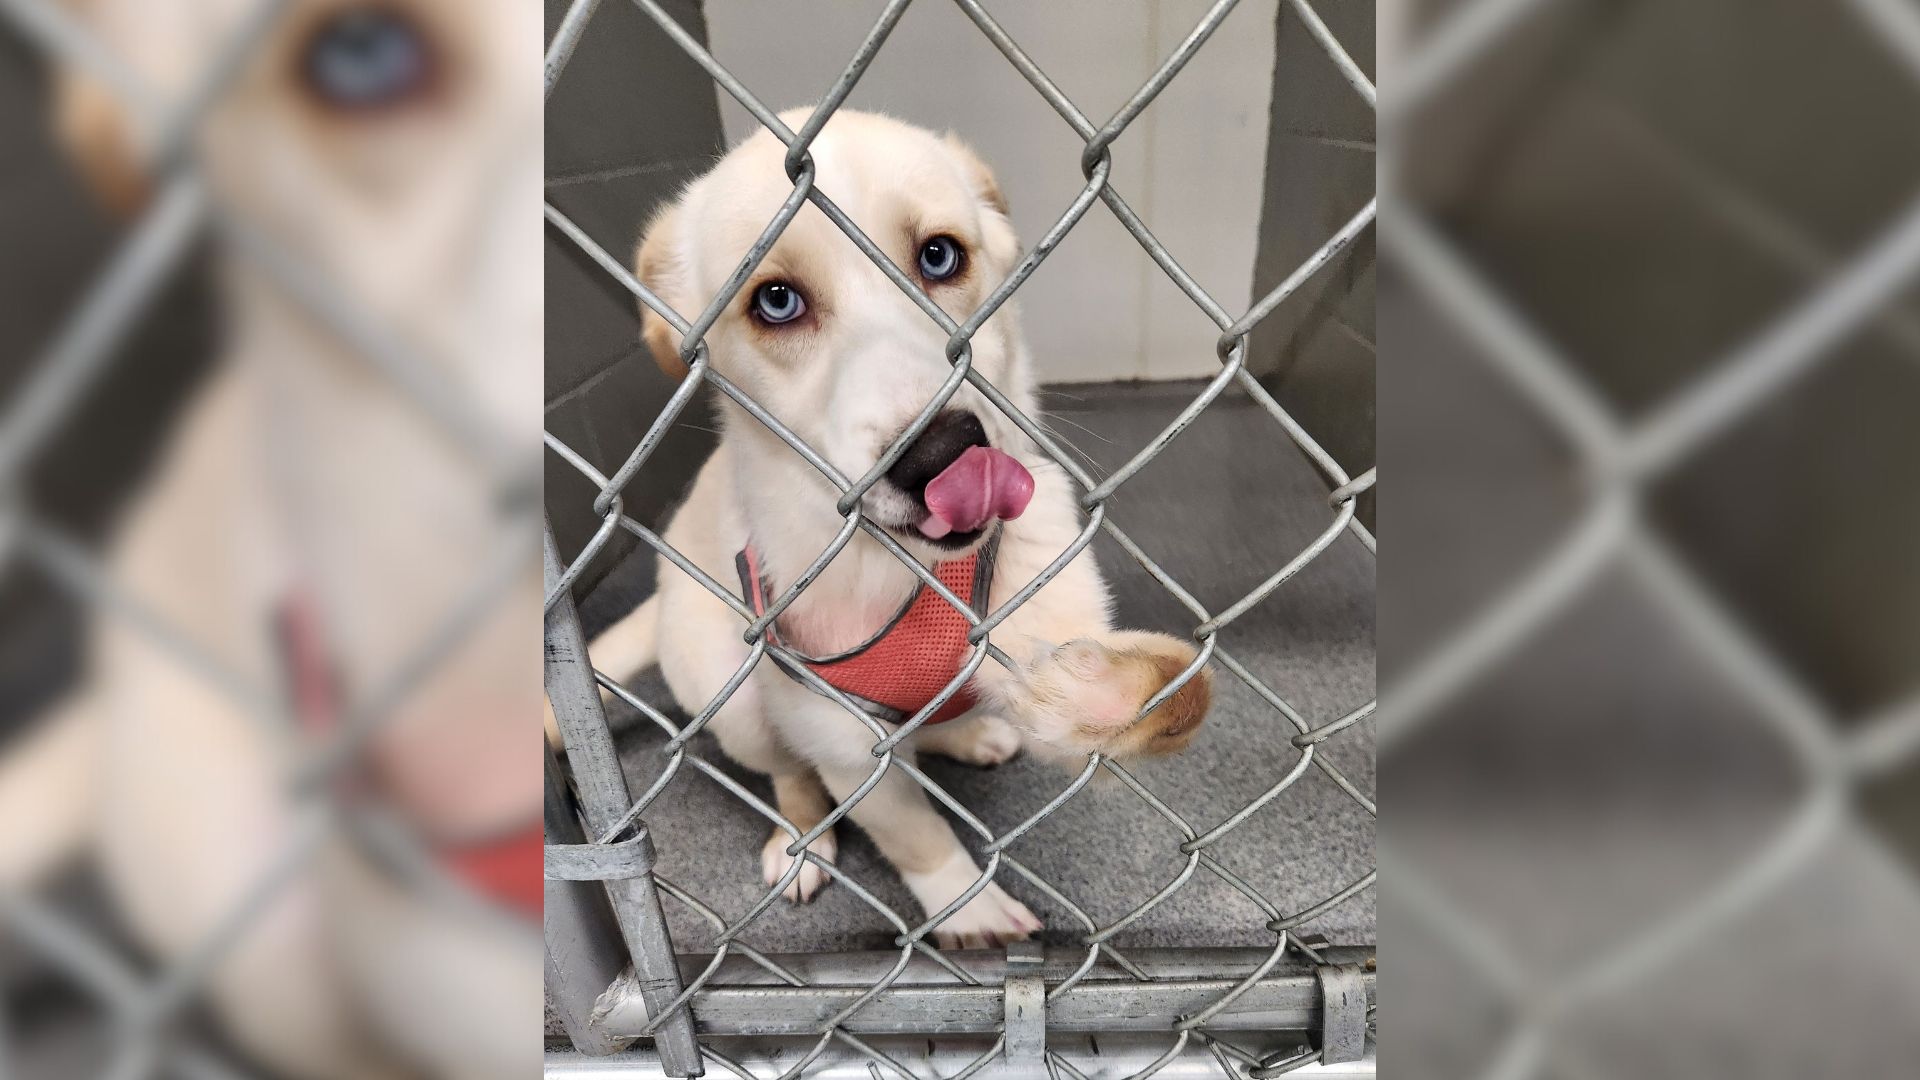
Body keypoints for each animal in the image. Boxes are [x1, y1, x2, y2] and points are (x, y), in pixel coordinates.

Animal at [587, 109, 1213, 945]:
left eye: (939, 256)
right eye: (775, 302)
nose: (942, 455)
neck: (904, 572)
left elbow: (1170, 691)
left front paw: (1110, 693)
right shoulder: (849, 745)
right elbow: (916, 836)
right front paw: (969, 909)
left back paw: (970, 731)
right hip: (733, 694)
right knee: (791, 775)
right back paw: (801, 840)